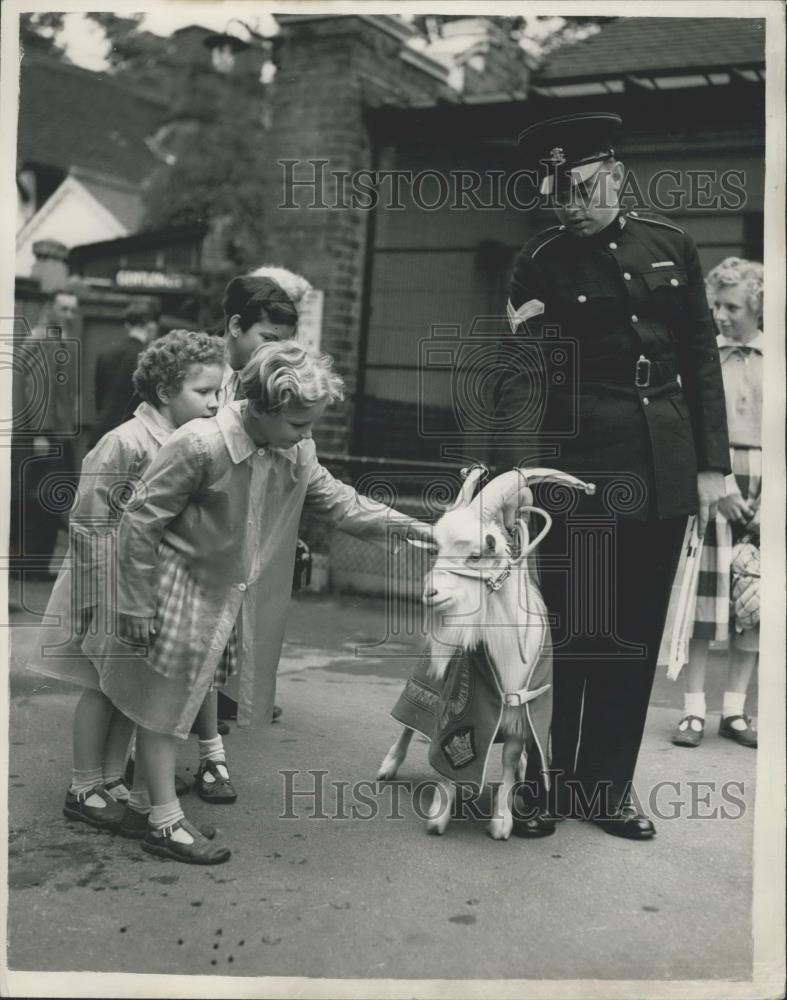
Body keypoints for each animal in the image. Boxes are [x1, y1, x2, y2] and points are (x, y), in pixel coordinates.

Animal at [378, 464, 596, 840]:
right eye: (437, 550)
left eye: (478, 553)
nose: (429, 593)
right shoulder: (465, 708)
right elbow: (447, 750)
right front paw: (440, 813)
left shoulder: (522, 711)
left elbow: (509, 758)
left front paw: (502, 819)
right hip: (424, 677)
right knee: (410, 722)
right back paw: (389, 765)